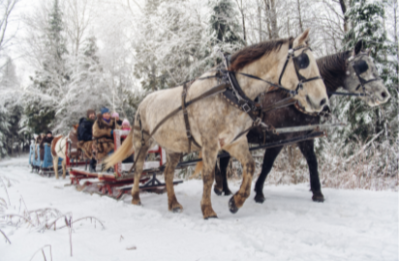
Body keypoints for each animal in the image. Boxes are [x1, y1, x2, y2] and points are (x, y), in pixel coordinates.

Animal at [213, 40, 390, 201]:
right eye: (362, 66)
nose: (384, 94)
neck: (292, 101)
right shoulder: (277, 139)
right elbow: (268, 165)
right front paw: (258, 192)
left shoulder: (305, 137)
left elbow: (312, 161)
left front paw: (317, 192)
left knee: (223, 162)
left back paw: (224, 189)